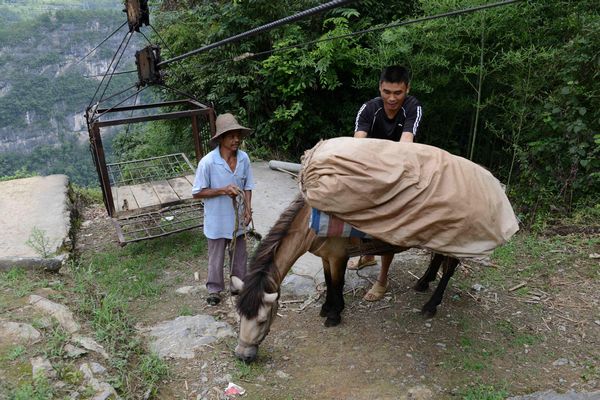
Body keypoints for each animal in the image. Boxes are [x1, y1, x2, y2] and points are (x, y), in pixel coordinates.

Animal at [234, 195, 460, 362]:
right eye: (240, 316)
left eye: (263, 320)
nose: (243, 356)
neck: (312, 223)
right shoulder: (326, 257)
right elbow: (328, 281)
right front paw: (327, 309)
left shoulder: (338, 256)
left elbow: (336, 284)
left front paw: (334, 315)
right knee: (438, 257)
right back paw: (424, 282)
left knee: (450, 266)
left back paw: (431, 305)